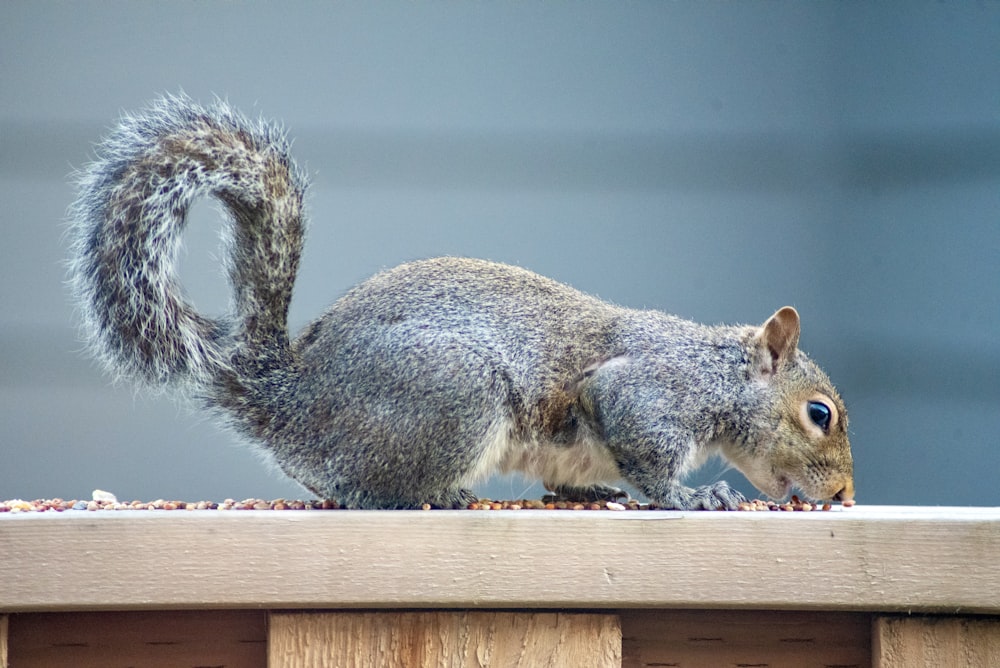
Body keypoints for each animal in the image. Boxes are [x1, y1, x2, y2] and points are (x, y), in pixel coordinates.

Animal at [66, 94, 856, 508]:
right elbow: (641, 439)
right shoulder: (653, 389)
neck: (717, 373)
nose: (846, 495)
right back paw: (437, 494)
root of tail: (292, 402)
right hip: (456, 393)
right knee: (366, 489)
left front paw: (593, 495)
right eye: (818, 415)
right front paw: (691, 499)